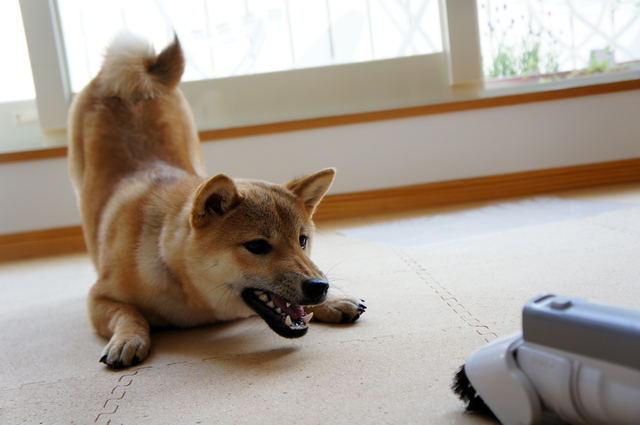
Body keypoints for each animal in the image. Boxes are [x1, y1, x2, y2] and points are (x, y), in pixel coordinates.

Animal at [68, 32, 368, 368]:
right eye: (257, 246)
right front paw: (128, 339)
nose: (319, 286)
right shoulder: (99, 297)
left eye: (302, 241)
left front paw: (335, 300)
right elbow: (129, 315)